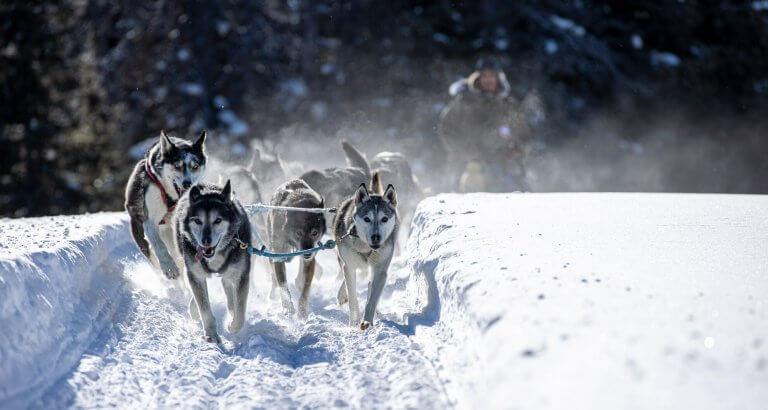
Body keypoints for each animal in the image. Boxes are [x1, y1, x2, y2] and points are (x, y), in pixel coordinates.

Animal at [124, 131, 207, 278]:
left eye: (195, 166)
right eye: (177, 166)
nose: (187, 184)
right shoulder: (149, 220)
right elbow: (159, 246)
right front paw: (169, 266)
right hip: (139, 229)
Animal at [172, 181, 250, 344]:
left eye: (218, 220)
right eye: (197, 220)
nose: (205, 241)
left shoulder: (241, 275)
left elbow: (240, 309)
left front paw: (233, 325)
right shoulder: (195, 274)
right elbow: (204, 308)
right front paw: (211, 333)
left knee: (229, 292)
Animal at [332, 172, 400, 330]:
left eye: (384, 219)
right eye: (367, 219)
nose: (376, 237)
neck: (366, 248)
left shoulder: (380, 270)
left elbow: (372, 299)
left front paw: (367, 322)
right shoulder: (349, 266)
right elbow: (352, 296)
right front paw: (354, 322)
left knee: (370, 286)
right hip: (344, 259)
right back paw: (342, 295)